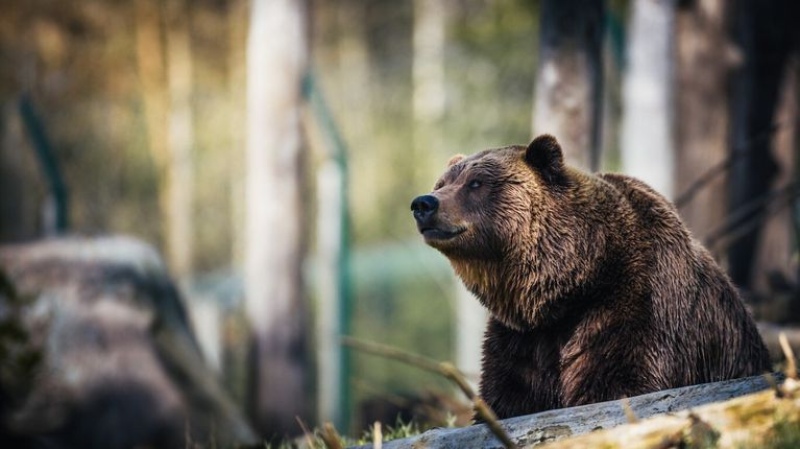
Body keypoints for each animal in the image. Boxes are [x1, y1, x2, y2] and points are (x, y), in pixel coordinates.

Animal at [410, 135, 772, 418]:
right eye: (442, 183)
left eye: (476, 183)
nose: (423, 203)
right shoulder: (522, 339)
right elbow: (507, 397)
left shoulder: (635, 305)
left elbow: (618, 383)